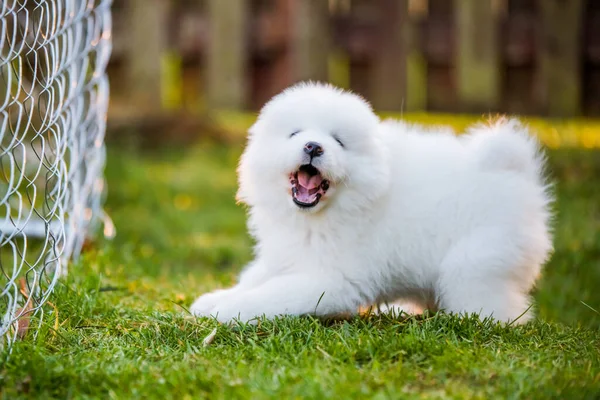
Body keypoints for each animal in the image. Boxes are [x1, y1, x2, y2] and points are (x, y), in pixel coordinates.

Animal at [192, 82, 552, 324]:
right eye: (295, 134)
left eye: (338, 141)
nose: (313, 146)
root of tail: (514, 170)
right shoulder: (287, 253)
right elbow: (255, 278)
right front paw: (212, 300)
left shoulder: (332, 279)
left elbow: (272, 294)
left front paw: (228, 311)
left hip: (474, 263)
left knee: (497, 309)